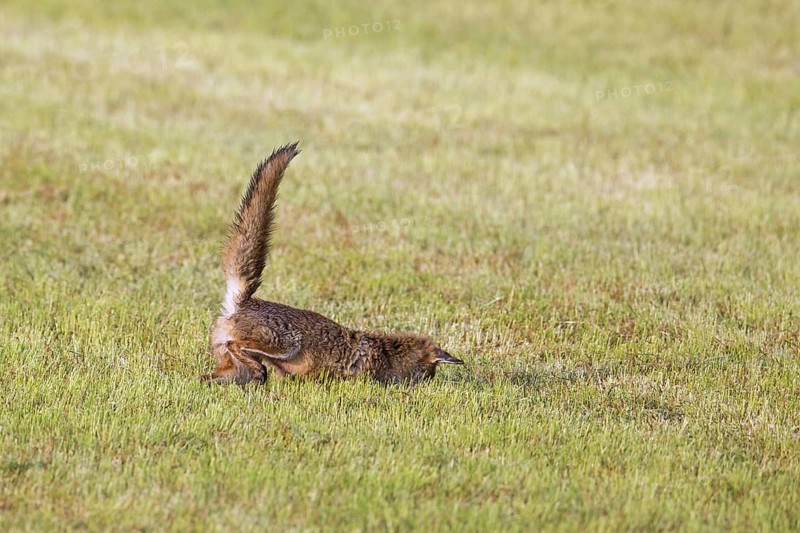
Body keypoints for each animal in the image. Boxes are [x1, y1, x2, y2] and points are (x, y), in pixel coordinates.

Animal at [202, 143, 463, 386]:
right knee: (236, 345)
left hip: (235, 371)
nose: (427, 384)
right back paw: (260, 372)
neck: (386, 354)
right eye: (429, 374)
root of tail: (243, 301)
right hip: (286, 343)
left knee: (207, 375)